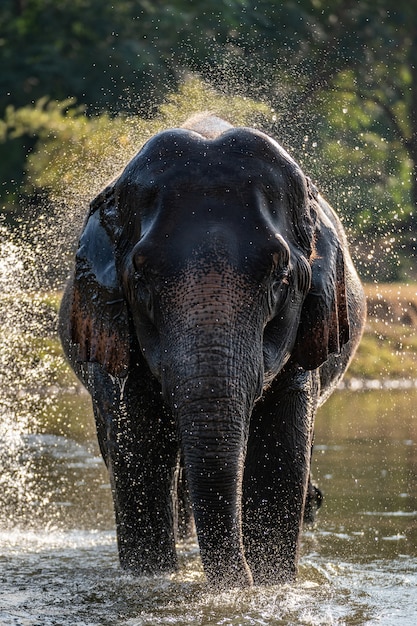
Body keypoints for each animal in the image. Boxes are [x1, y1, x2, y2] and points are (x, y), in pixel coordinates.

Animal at [58, 114, 364, 588]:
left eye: (280, 277)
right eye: (140, 277)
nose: (240, 581)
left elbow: (279, 454)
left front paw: (272, 585)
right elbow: (137, 451)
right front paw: (154, 579)